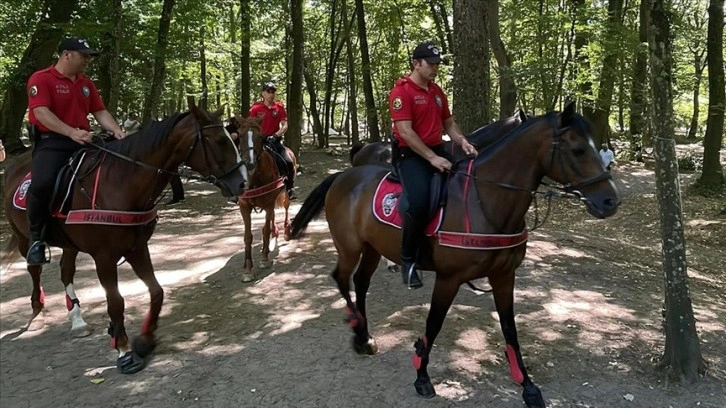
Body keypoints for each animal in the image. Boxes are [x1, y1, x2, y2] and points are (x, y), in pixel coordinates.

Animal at [2, 99, 249, 372]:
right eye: (219, 141)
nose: (242, 183)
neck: (121, 183)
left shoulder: (137, 248)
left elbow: (156, 291)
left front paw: (145, 339)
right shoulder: (104, 257)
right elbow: (116, 302)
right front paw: (124, 350)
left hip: (70, 244)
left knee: (66, 271)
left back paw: (77, 320)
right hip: (24, 237)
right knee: (34, 269)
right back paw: (37, 313)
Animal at [233, 113, 296, 282]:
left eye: (261, 137)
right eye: (240, 135)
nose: (249, 164)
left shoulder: (268, 203)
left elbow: (265, 230)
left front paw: (264, 259)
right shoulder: (244, 206)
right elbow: (248, 236)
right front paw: (248, 270)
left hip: (286, 193)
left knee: (285, 208)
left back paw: (285, 230)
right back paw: (275, 233)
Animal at [288, 103, 620, 406]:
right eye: (578, 150)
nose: (610, 201)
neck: (485, 199)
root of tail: (344, 176)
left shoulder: (504, 276)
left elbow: (510, 329)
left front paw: (527, 385)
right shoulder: (449, 278)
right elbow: (433, 324)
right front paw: (422, 376)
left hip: (372, 247)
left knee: (361, 282)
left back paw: (366, 336)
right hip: (350, 247)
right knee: (342, 278)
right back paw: (358, 333)